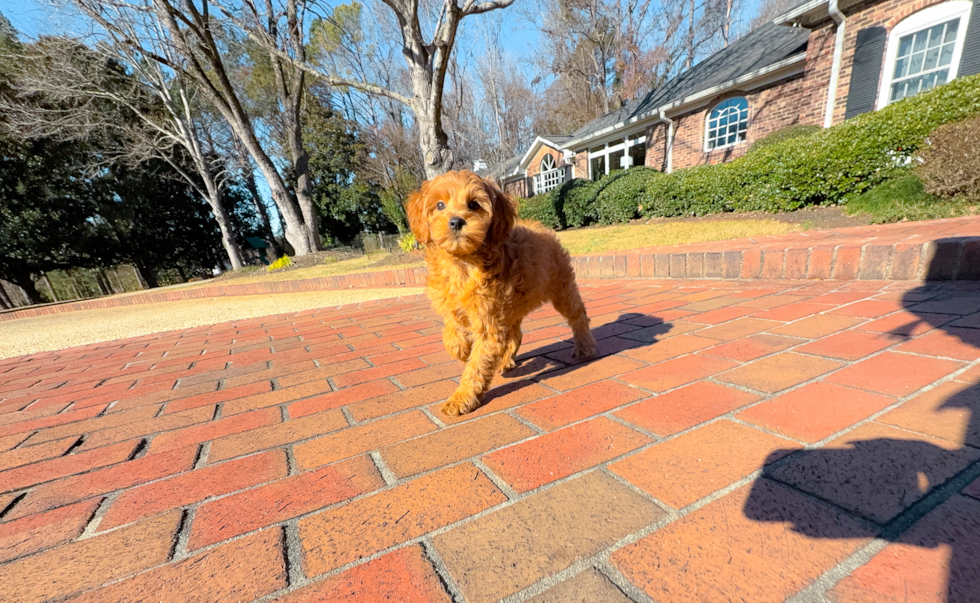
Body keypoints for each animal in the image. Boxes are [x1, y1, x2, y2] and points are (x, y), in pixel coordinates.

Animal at [406, 169, 596, 416]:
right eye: (439, 205)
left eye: (474, 204)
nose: (456, 221)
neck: (462, 263)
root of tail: (539, 227)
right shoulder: (454, 306)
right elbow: (451, 333)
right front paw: (461, 349)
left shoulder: (488, 323)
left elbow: (476, 366)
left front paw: (461, 398)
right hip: (511, 307)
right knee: (515, 334)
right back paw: (505, 360)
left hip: (561, 288)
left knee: (577, 315)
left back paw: (585, 347)